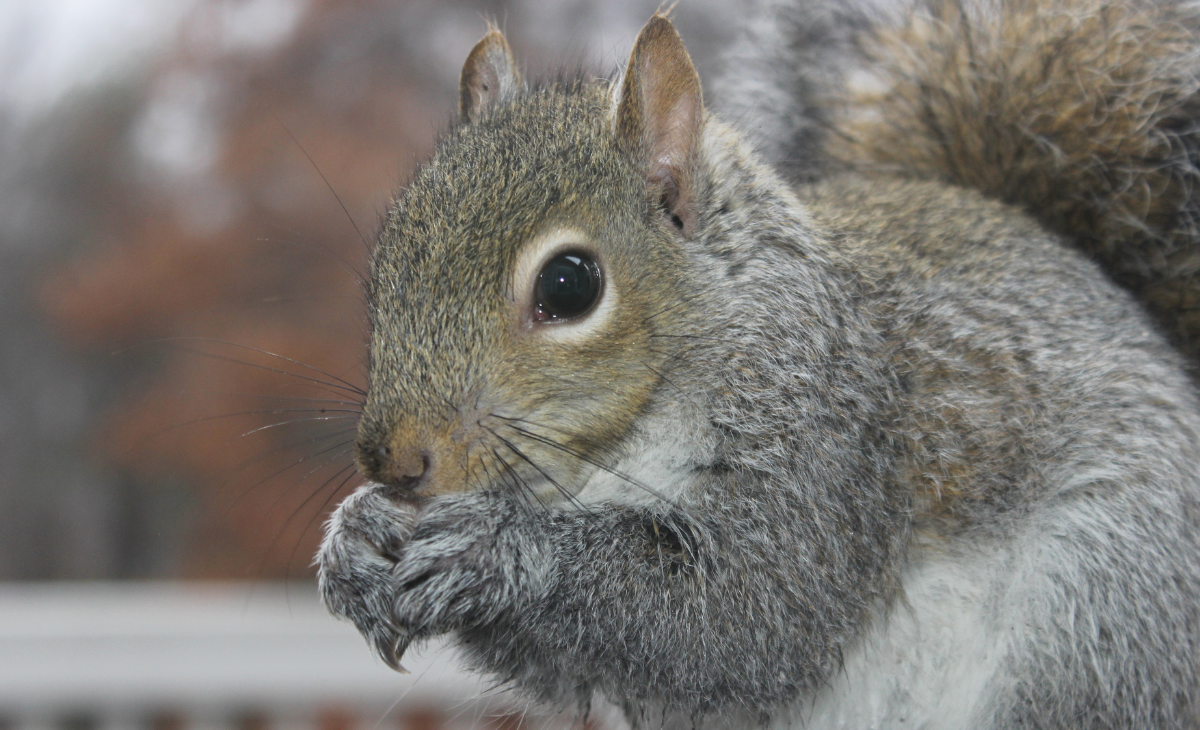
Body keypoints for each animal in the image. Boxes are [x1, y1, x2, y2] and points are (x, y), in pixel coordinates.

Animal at [317, 0, 1200, 727]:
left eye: (569, 286)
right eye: (388, 259)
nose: (394, 461)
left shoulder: (833, 446)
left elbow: (747, 614)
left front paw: (499, 549)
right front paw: (357, 537)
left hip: (1100, 617)